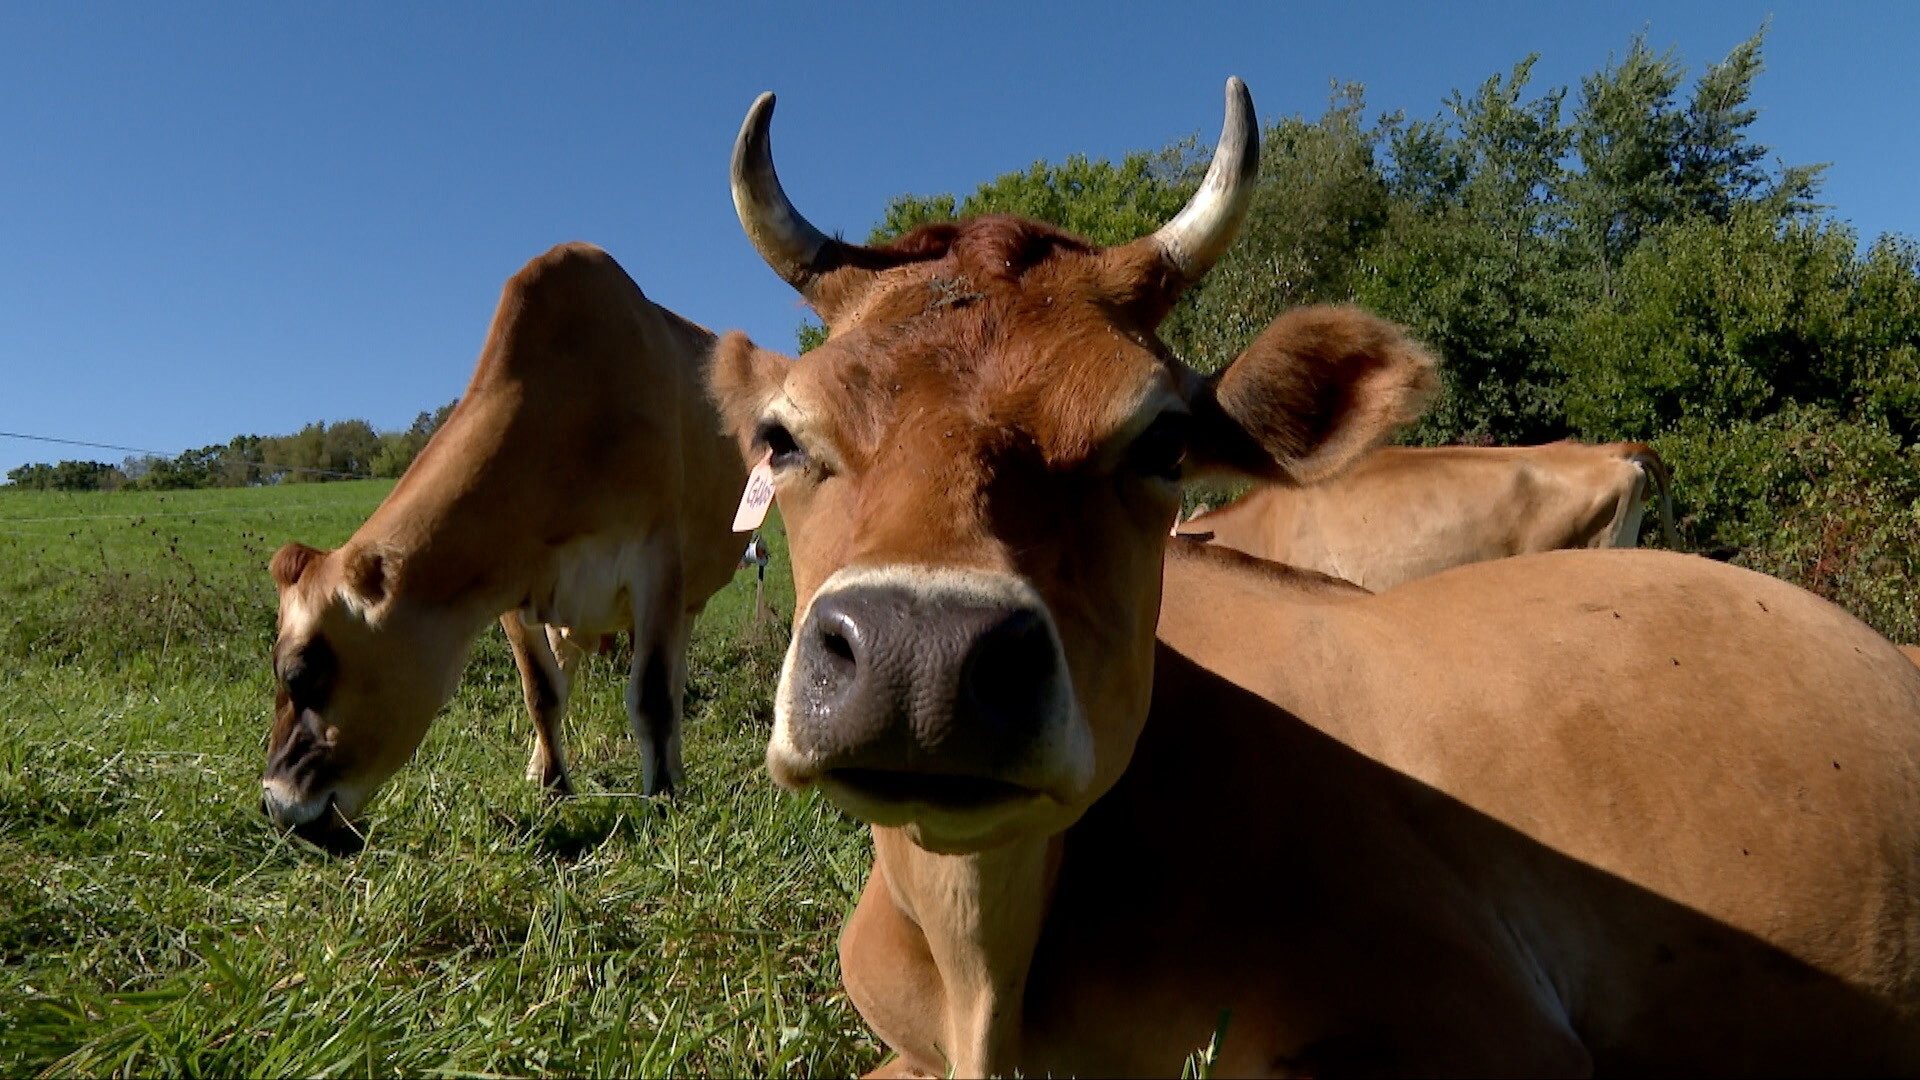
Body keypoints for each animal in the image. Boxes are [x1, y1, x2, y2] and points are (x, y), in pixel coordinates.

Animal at [261, 243, 746, 852]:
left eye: (301, 674)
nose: (273, 804)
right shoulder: (512, 581)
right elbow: (542, 691)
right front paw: (556, 785)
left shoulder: (657, 562)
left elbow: (655, 694)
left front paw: (661, 799)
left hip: (688, 595)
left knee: (673, 680)